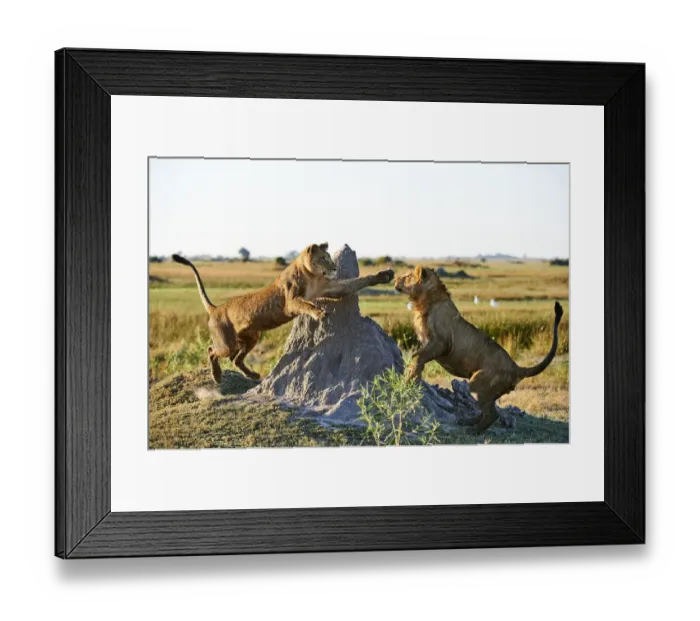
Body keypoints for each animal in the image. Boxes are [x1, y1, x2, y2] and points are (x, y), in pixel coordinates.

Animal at [172, 243, 394, 383]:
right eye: (324, 258)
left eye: (330, 258)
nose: (334, 268)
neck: (311, 275)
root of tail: (216, 308)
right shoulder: (290, 302)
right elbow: (306, 305)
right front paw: (319, 314)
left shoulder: (331, 288)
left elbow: (356, 283)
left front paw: (384, 275)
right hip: (226, 343)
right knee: (212, 350)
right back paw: (217, 376)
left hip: (251, 337)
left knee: (235, 359)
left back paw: (252, 376)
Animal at [394, 265, 564, 432]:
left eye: (407, 276)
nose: (395, 279)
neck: (423, 302)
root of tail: (516, 367)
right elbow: (418, 354)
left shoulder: (441, 342)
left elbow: (419, 356)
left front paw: (412, 376)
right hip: (487, 390)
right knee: (487, 410)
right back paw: (467, 421)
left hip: (478, 383)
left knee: (492, 414)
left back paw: (473, 430)